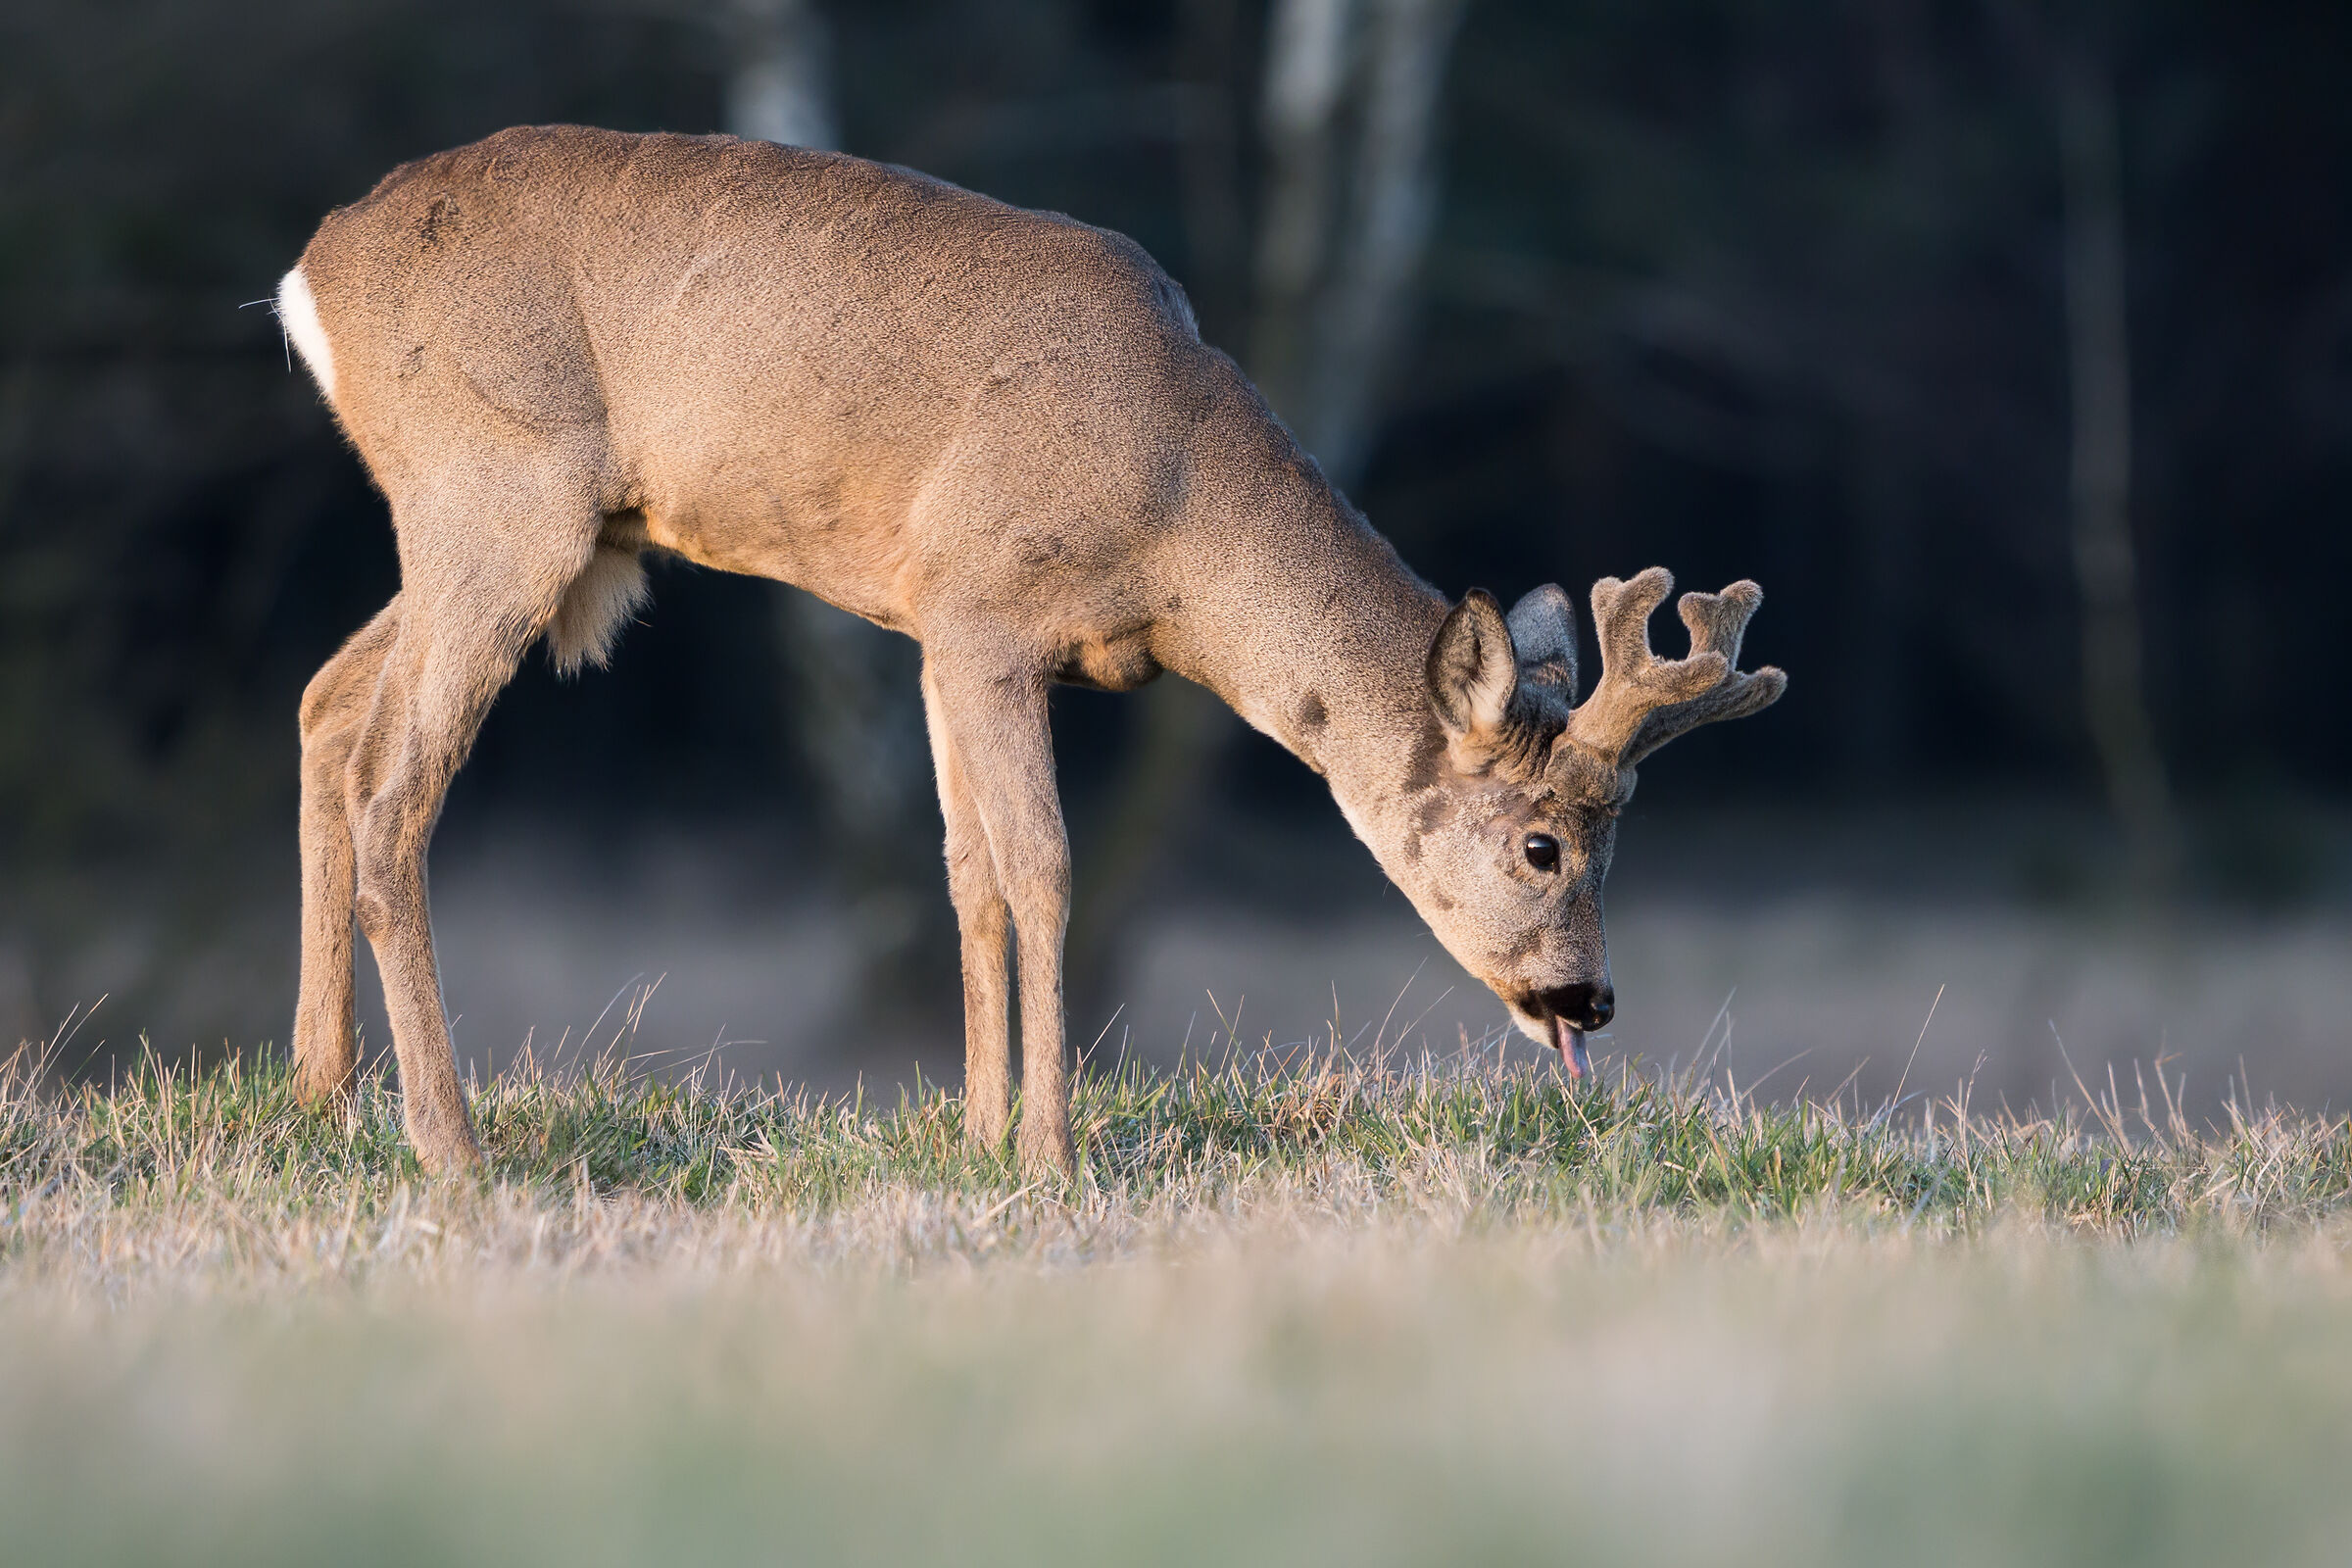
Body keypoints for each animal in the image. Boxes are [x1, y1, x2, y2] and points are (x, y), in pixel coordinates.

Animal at [278, 125, 1785, 1178]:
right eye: (1543, 844)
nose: (1588, 998)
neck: (1178, 518)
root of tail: (310, 278)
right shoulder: (988, 606)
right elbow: (1046, 867)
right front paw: (1056, 1154)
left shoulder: (936, 628)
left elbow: (970, 875)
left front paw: (979, 1134)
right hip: (501, 491)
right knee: (394, 782)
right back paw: (451, 1146)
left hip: (498, 523)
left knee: (325, 703)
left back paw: (318, 1096)